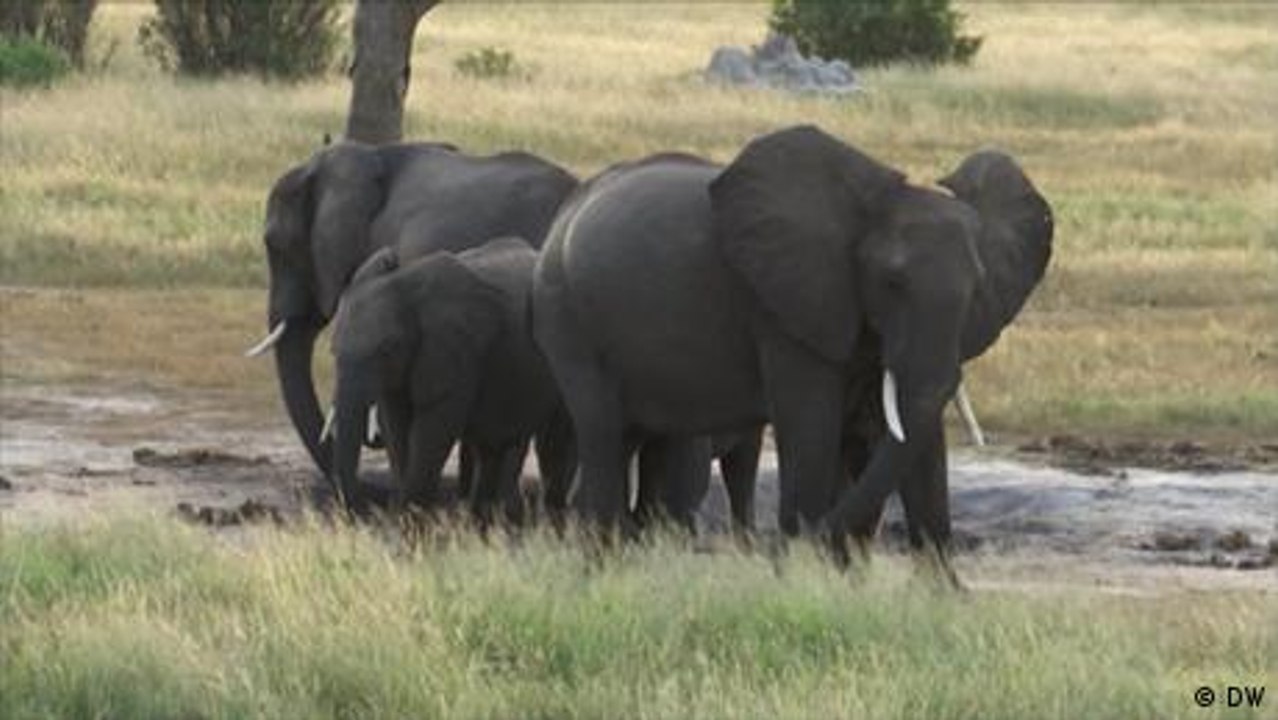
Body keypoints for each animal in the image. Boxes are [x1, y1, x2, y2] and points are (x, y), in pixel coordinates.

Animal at [327, 238, 572, 525]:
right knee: (493, 447)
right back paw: (486, 525)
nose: (362, 513)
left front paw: (411, 526)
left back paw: (549, 523)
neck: (405, 287)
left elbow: (433, 431)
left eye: (387, 349)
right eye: (333, 352)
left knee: (554, 444)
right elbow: (398, 428)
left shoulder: (455, 352)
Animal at [531, 126, 1053, 576]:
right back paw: (600, 574)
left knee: (639, 439)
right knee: (603, 433)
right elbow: (811, 426)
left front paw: (940, 597)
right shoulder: (784, 310)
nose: (789, 551)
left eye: (978, 287)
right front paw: (802, 576)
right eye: (892, 282)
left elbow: (917, 438)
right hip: (565, 315)